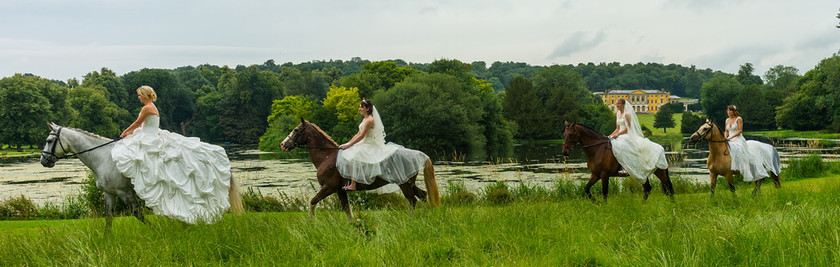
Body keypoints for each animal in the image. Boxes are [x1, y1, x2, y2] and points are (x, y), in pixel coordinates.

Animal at [40, 123, 243, 230]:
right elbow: (109, 217)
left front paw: (155, 231)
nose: (43, 160)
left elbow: (138, 214)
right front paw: (106, 240)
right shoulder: (110, 193)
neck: (103, 157)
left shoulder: (125, 192)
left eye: (49, 140)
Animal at [280, 119, 442, 222]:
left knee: (412, 200)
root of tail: (418, 154)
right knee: (423, 195)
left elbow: (313, 201)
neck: (327, 156)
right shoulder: (340, 190)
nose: (283, 144)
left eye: (296, 130)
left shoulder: (329, 187)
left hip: (404, 184)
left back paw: (410, 220)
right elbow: (346, 209)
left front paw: (311, 222)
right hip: (410, 183)